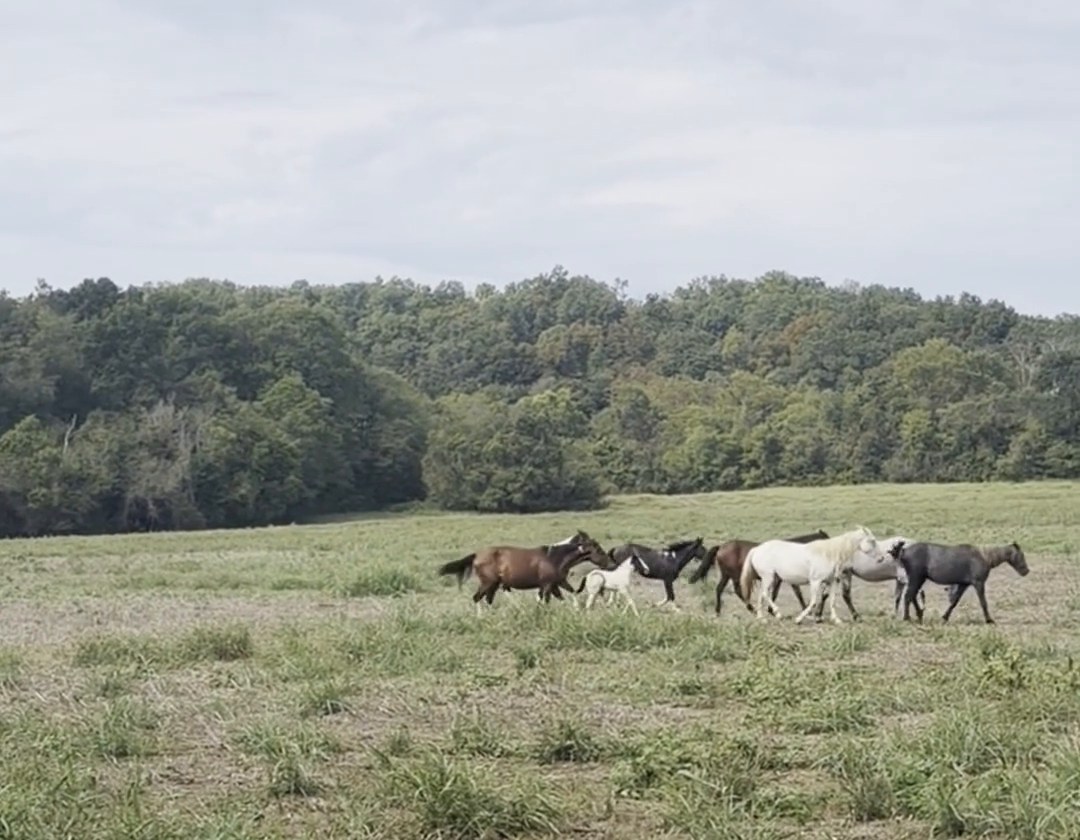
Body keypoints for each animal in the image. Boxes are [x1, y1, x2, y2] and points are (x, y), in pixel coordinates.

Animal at [438, 537, 610, 616]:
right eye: (599, 550)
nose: (610, 564)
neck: (554, 558)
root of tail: (476, 555)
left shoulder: (557, 583)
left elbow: (569, 594)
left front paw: (575, 610)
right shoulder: (547, 585)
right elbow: (545, 601)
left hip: (494, 585)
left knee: (488, 599)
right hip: (488, 583)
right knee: (477, 598)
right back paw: (481, 617)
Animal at [687, 530, 829, 615]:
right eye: (827, 539)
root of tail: (721, 547)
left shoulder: (782, 579)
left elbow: (790, 593)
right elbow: (790, 593)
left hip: (727, 575)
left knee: (719, 589)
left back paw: (719, 611)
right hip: (734, 575)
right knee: (736, 590)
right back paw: (751, 609)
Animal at [739, 526, 891, 625]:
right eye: (872, 541)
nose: (882, 558)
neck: (829, 554)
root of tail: (756, 549)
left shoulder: (832, 581)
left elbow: (832, 600)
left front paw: (836, 620)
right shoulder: (815, 581)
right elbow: (813, 602)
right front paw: (800, 619)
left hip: (769, 578)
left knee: (761, 595)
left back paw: (762, 619)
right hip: (769, 577)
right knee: (765, 594)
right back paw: (778, 614)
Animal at [891, 540, 1029, 624]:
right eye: (1021, 555)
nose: (1026, 571)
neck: (985, 557)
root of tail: (904, 551)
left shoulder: (964, 584)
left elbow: (954, 602)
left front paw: (945, 617)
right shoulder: (978, 583)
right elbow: (983, 602)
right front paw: (989, 620)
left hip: (918, 579)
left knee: (912, 596)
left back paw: (918, 616)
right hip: (916, 578)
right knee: (908, 596)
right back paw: (907, 618)